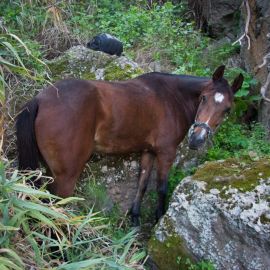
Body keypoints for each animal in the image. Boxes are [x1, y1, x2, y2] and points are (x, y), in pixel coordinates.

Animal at [15, 65, 244, 226]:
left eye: (227, 109)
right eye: (203, 98)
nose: (197, 139)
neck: (172, 97)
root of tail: (41, 99)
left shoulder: (149, 151)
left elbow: (142, 182)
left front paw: (135, 216)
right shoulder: (166, 152)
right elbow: (161, 187)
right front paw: (159, 218)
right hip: (66, 177)